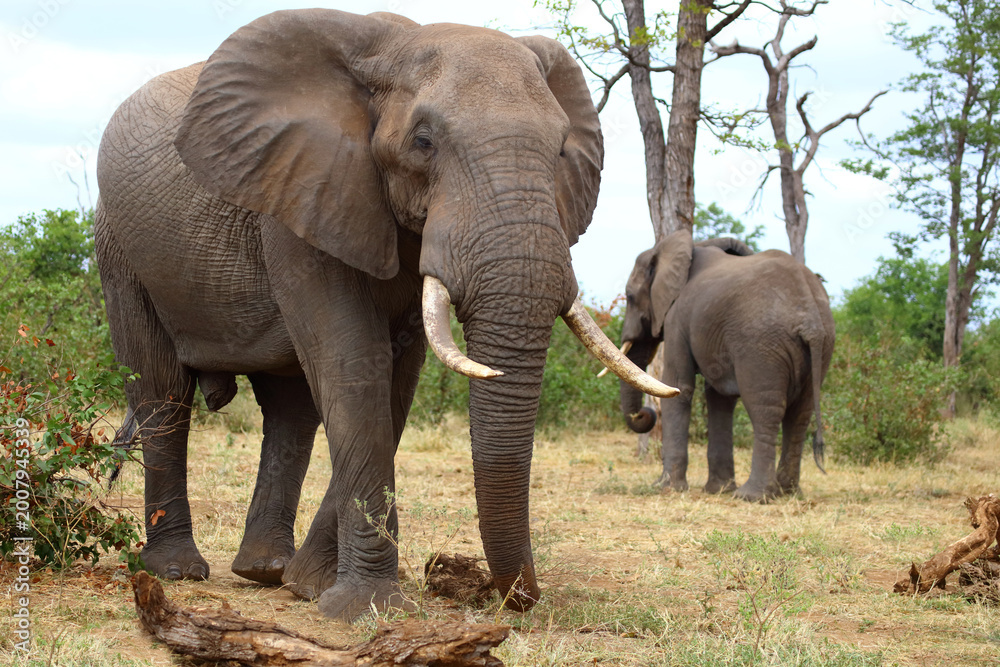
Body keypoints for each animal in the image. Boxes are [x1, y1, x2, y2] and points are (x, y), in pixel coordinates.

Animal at [94, 9, 676, 621]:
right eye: (423, 141)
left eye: (562, 148)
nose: (517, 599)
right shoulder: (302, 191)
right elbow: (354, 363)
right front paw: (363, 607)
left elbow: (395, 379)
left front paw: (312, 586)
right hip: (120, 247)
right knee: (162, 390)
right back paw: (177, 571)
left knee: (290, 408)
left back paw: (266, 571)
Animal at [618, 231, 835, 502]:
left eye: (630, 296)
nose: (643, 414)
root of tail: (810, 318)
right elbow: (719, 399)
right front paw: (718, 489)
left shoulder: (678, 317)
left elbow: (679, 387)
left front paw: (666, 487)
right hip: (822, 346)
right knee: (800, 415)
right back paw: (787, 491)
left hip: (761, 346)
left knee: (764, 410)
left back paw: (753, 496)